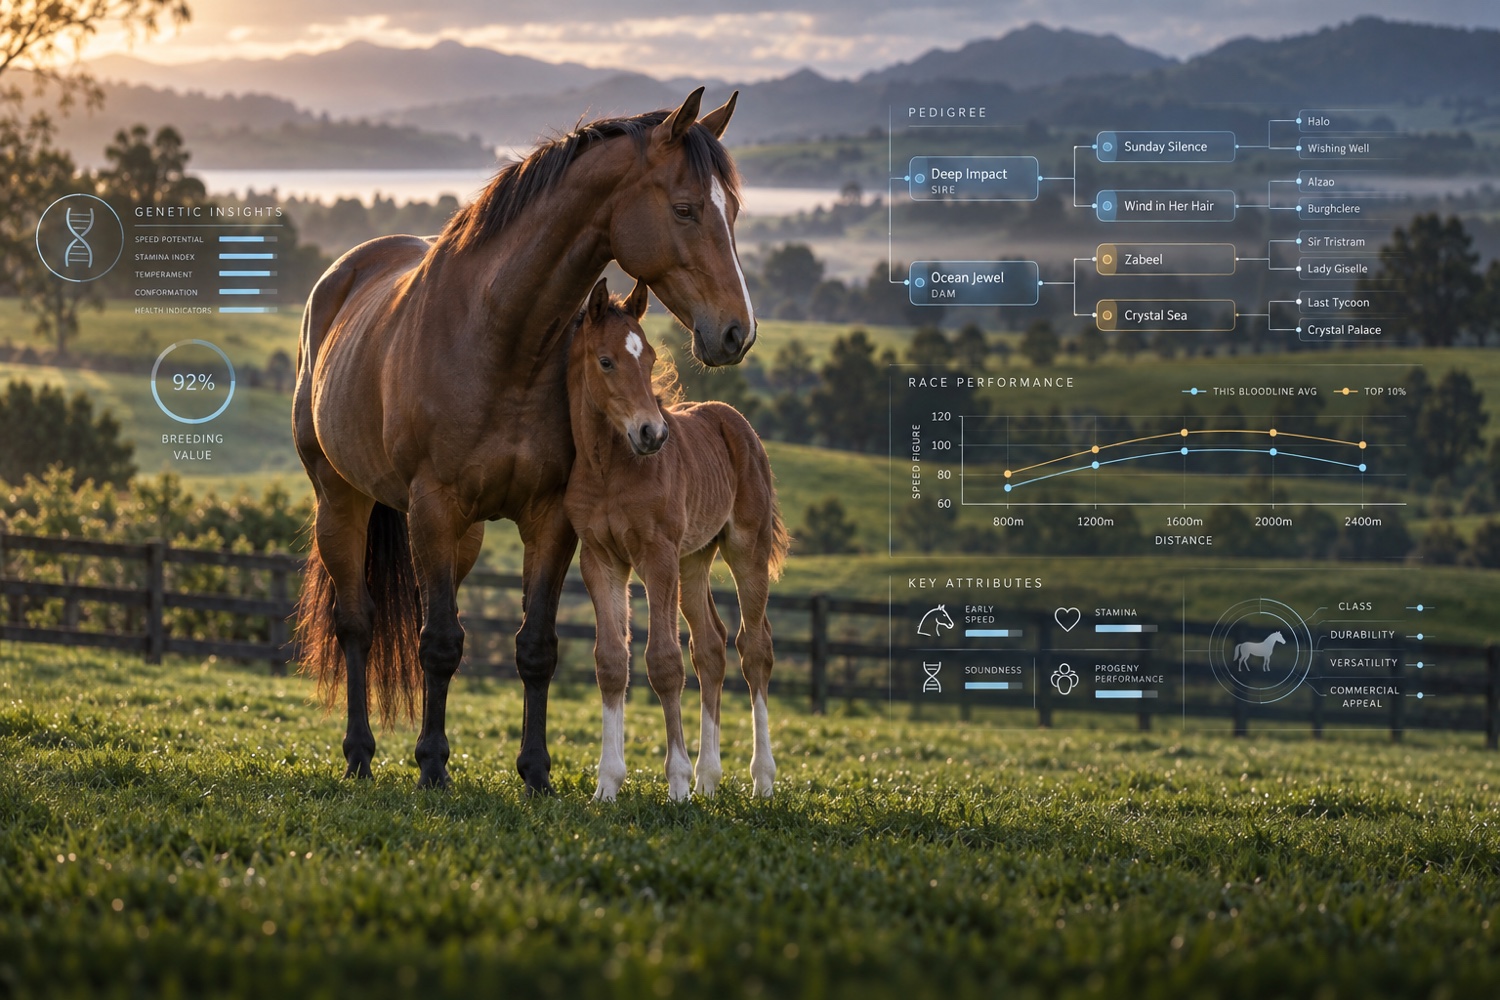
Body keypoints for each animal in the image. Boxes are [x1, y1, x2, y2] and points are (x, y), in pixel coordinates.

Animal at [292, 88, 756, 794]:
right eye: (685, 208)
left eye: (730, 209)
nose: (737, 332)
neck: (500, 337)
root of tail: (342, 274)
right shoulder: (433, 507)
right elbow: (439, 642)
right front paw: (433, 767)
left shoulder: (549, 517)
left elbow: (534, 646)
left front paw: (535, 773)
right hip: (340, 501)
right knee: (358, 623)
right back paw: (361, 753)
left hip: (462, 537)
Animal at [564, 277, 788, 801]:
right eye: (606, 361)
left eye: (648, 360)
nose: (653, 433)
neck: (608, 469)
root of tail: (734, 420)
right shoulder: (601, 560)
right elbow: (612, 661)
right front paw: (607, 784)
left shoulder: (657, 557)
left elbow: (664, 662)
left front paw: (677, 783)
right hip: (695, 560)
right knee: (711, 647)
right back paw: (710, 777)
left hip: (745, 549)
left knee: (755, 648)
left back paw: (760, 778)